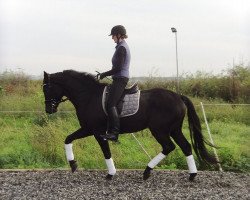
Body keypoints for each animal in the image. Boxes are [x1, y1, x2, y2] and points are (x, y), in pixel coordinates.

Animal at [42, 69, 217, 180]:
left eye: (47, 88)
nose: (49, 110)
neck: (88, 96)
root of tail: (178, 96)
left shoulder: (97, 131)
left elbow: (106, 152)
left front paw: (110, 174)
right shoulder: (87, 129)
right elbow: (68, 139)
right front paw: (73, 165)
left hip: (159, 130)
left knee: (169, 147)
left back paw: (147, 172)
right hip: (174, 129)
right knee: (185, 146)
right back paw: (192, 175)